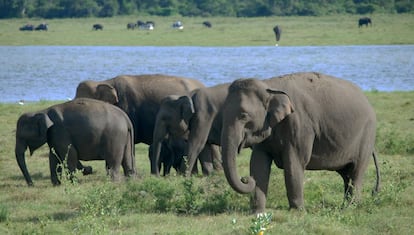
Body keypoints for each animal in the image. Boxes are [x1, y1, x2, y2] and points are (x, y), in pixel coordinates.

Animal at [220, 71, 382, 213]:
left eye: (243, 115)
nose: (245, 179)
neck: (269, 86)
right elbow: (258, 163)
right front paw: (257, 212)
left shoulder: (300, 125)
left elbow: (294, 162)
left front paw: (297, 211)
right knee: (346, 175)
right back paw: (347, 205)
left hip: (367, 136)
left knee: (356, 172)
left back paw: (351, 207)